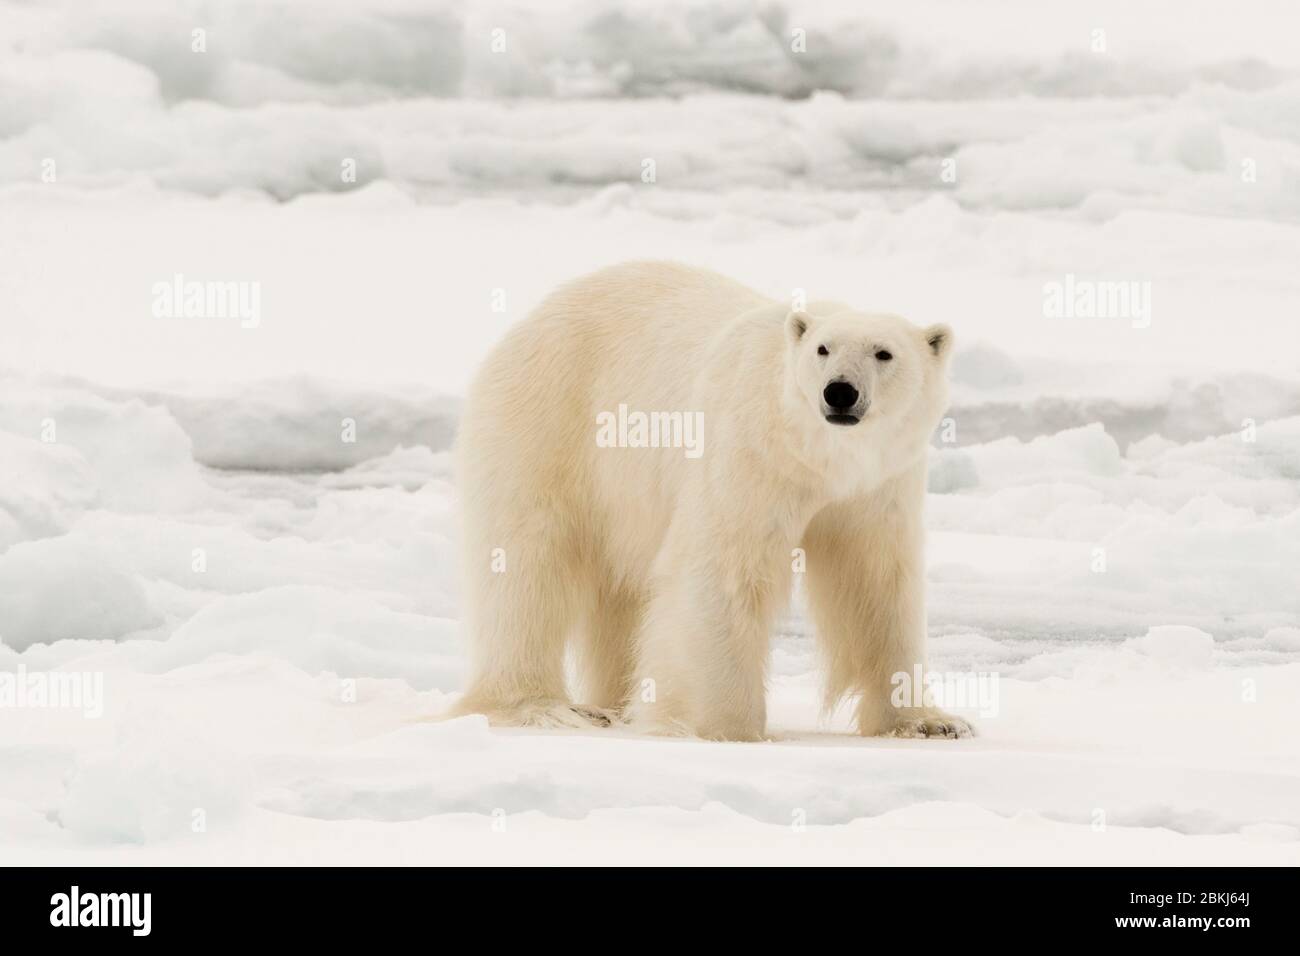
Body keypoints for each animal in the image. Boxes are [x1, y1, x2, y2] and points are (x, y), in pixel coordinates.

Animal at [452, 261, 972, 738]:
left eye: (884, 353)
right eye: (822, 349)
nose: (839, 392)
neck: (817, 457)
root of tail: (531, 319)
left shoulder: (879, 486)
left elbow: (877, 583)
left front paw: (929, 722)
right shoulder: (751, 456)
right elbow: (723, 569)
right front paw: (725, 726)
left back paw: (615, 703)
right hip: (548, 422)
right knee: (528, 565)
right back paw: (544, 706)